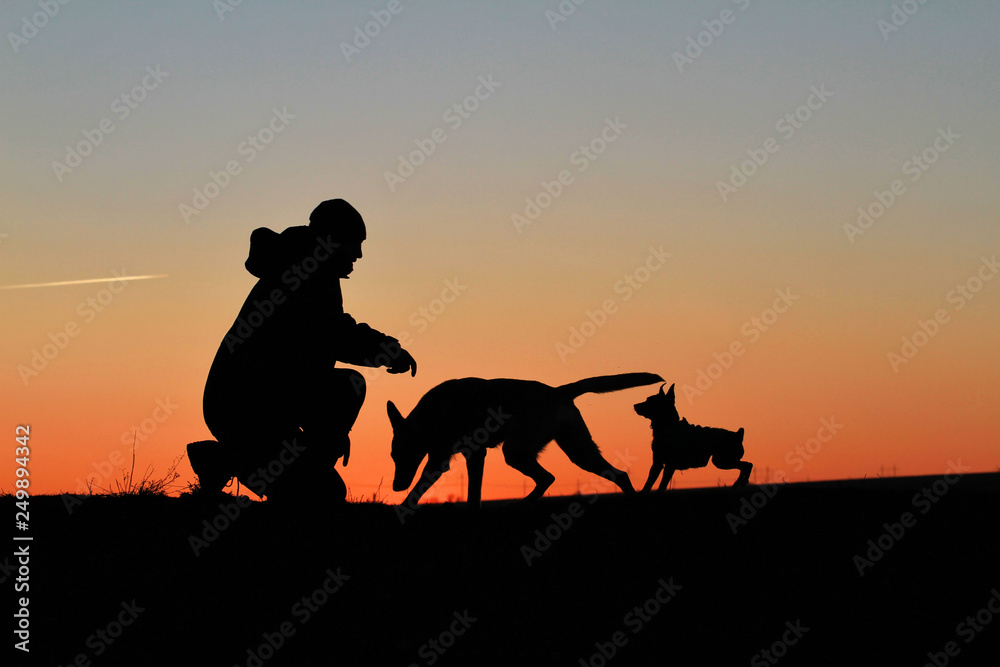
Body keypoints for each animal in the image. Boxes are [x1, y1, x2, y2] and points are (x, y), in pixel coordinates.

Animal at [390, 370, 664, 506]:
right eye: (393, 456)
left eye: (400, 454)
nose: (395, 487)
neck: (432, 413)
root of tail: (558, 391)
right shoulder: (442, 459)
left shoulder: (469, 454)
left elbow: (471, 493)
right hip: (578, 451)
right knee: (618, 475)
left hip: (516, 451)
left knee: (547, 477)